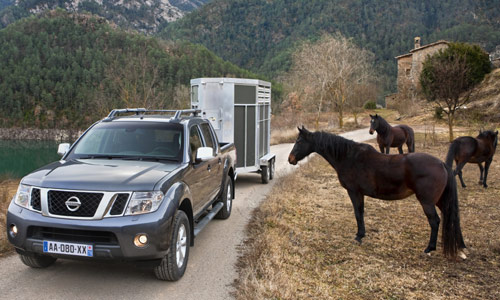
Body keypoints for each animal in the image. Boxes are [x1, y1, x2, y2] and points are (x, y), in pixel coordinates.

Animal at [288, 125, 466, 258]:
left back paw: (429, 248)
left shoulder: (354, 192)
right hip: (441, 200)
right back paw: (461, 246)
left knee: (435, 221)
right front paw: (361, 234)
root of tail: (442, 164)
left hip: (427, 202)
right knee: (453, 217)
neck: (348, 157)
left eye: (299, 141)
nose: (290, 159)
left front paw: (359, 236)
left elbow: (358, 213)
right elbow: (361, 213)